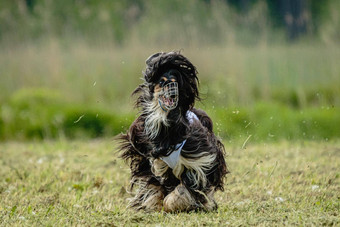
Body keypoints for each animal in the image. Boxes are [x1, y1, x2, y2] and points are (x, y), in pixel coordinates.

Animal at [117, 51, 228, 213]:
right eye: (162, 81)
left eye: (175, 81)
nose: (173, 92)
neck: (165, 127)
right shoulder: (146, 159)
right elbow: (153, 186)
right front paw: (152, 203)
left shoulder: (198, 160)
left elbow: (184, 190)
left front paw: (175, 204)